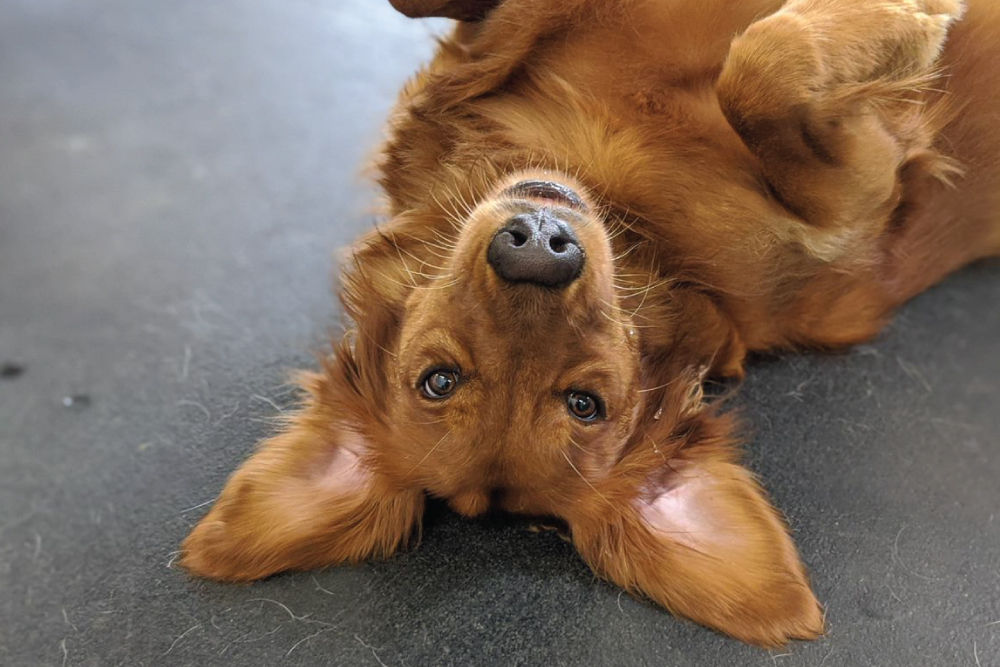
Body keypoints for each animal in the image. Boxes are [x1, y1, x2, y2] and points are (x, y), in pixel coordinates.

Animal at [182, 0, 1000, 648]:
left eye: (583, 402)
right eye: (439, 379)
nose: (535, 249)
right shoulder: (857, 204)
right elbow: (759, 71)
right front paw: (914, 20)